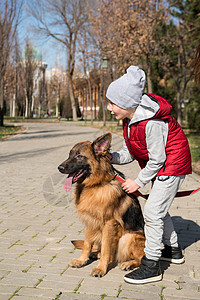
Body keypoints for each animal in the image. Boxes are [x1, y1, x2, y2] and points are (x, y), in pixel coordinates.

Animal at [58, 132, 145, 278]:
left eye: (79, 156)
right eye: (70, 154)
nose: (60, 168)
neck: (96, 184)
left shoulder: (109, 224)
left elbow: (105, 248)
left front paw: (100, 269)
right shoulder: (90, 221)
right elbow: (87, 244)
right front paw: (82, 260)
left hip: (129, 237)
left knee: (141, 258)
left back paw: (129, 263)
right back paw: (95, 254)